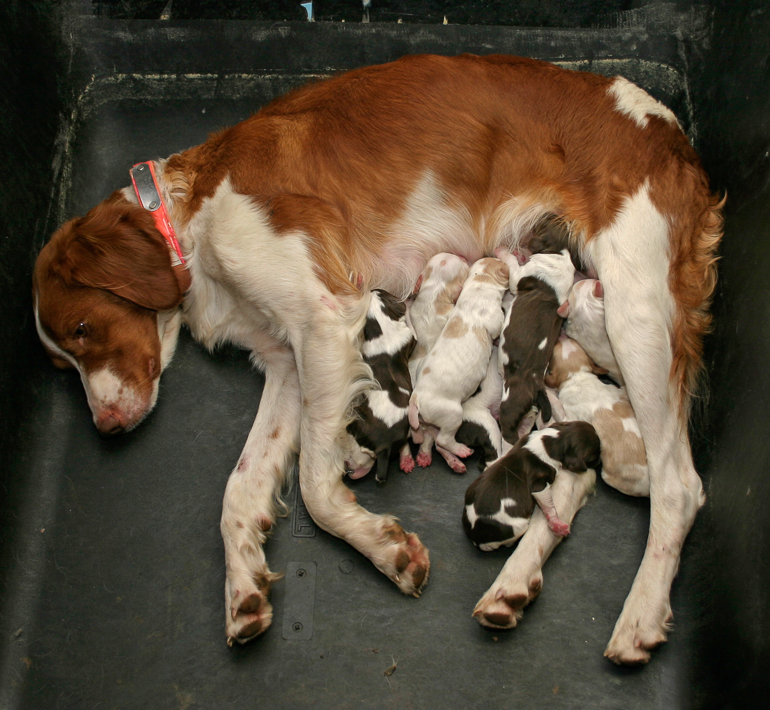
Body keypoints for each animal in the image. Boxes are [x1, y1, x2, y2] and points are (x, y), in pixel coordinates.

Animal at [344, 290, 414, 484]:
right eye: (385, 292)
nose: (372, 290)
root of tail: (385, 446)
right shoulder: (409, 336)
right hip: (401, 436)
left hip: (357, 427)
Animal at [408, 258, 510, 476]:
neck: (479, 284)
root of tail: (416, 397)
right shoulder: (494, 319)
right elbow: (497, 329)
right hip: (454, 415)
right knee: (443, 440)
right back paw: (462, 451)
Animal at [462, 422, 600, 552]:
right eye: (594, 455)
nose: (599, 462)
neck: (555, 439)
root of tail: (476, 537)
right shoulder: (539, 486)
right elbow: (549, 506)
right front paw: (556, 523)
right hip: (520, 526)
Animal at [544, 336, 644, 498]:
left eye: (555, 347)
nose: (563, 335)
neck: (578, 375)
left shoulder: (569, 417)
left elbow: (557, 406)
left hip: (609, 477)